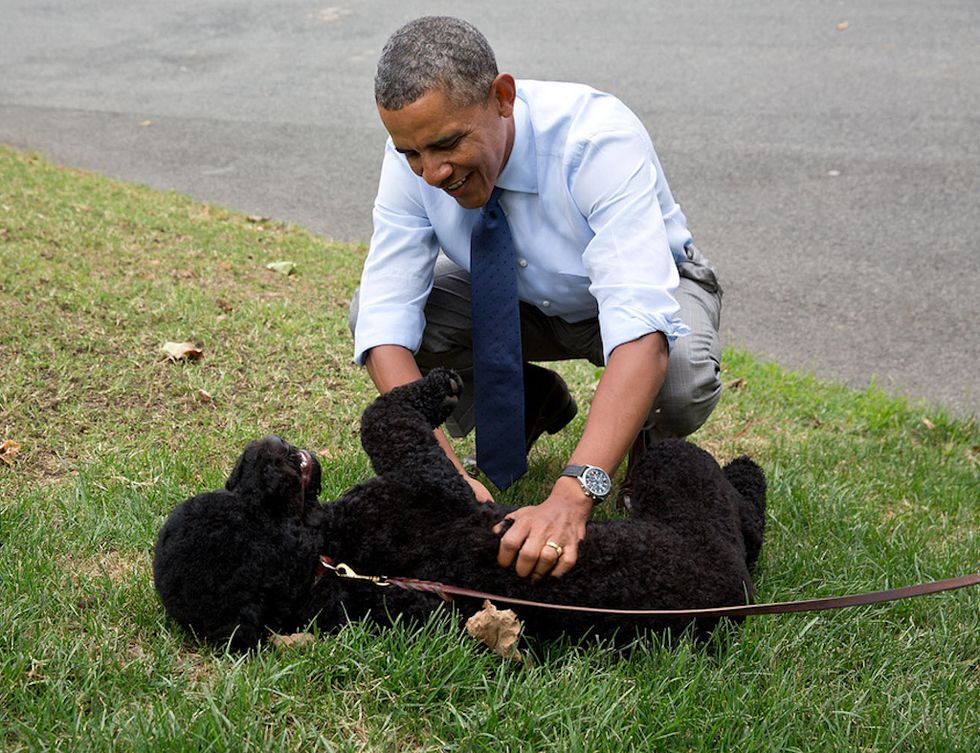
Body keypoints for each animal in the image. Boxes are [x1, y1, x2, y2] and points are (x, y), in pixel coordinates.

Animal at [155, 368, 764, 648]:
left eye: (237, 484)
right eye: (253, 500)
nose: (268, 449)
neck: (324, 561)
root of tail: (731, 602)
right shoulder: (425, 480)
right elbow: (383, 419)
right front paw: (439, 387)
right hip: (681, 475)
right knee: (745, 516)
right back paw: (746, 472)